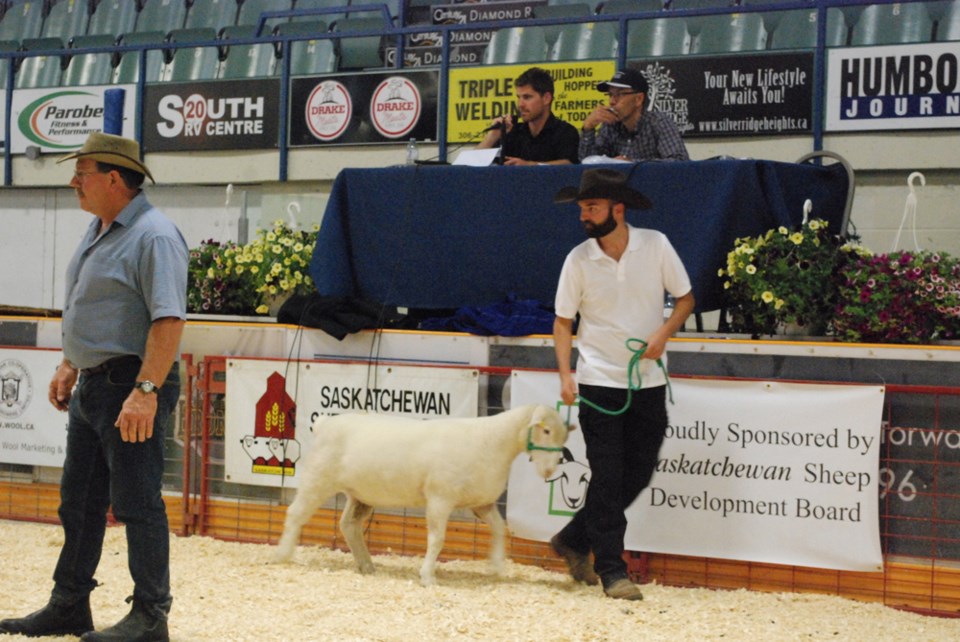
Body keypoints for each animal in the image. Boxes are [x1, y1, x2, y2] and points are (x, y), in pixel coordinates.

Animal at [270, 404, 568, 584]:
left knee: (349, 526)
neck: (493, 441)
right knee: (295, 514)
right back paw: (282, 554)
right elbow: (437, 539)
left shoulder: (482, 502)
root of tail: (324, 423)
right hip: (317, 478)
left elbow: (497, 529)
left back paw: (366, 565)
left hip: (361, 494)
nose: (551, 470)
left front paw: (496, 565)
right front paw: (427, 576)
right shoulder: (440, 498)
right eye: (546, 430)